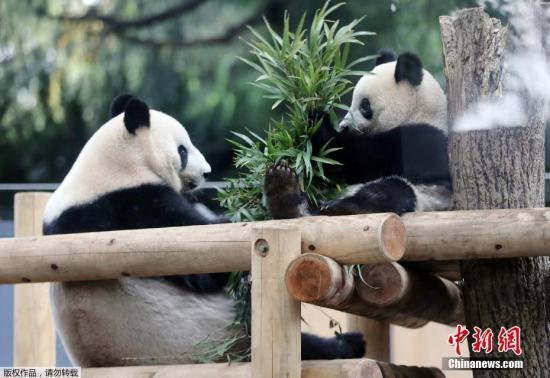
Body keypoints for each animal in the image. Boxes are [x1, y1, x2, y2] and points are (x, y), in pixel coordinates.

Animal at [43, 94, 366, 366]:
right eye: (183, 150)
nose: (208, 172)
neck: (113, 168)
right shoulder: (133, 207)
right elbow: (204, 263)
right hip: (219, 336)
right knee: (303, 347)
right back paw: (348, 345)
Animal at [266, 51, 452, 220]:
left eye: (364, 105)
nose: (344, 127)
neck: (419, 112)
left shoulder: (419, 138)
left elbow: (360, 160)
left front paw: (318, 122)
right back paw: (283, 191)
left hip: (427, 197)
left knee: (389, 191)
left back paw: (341, 207)